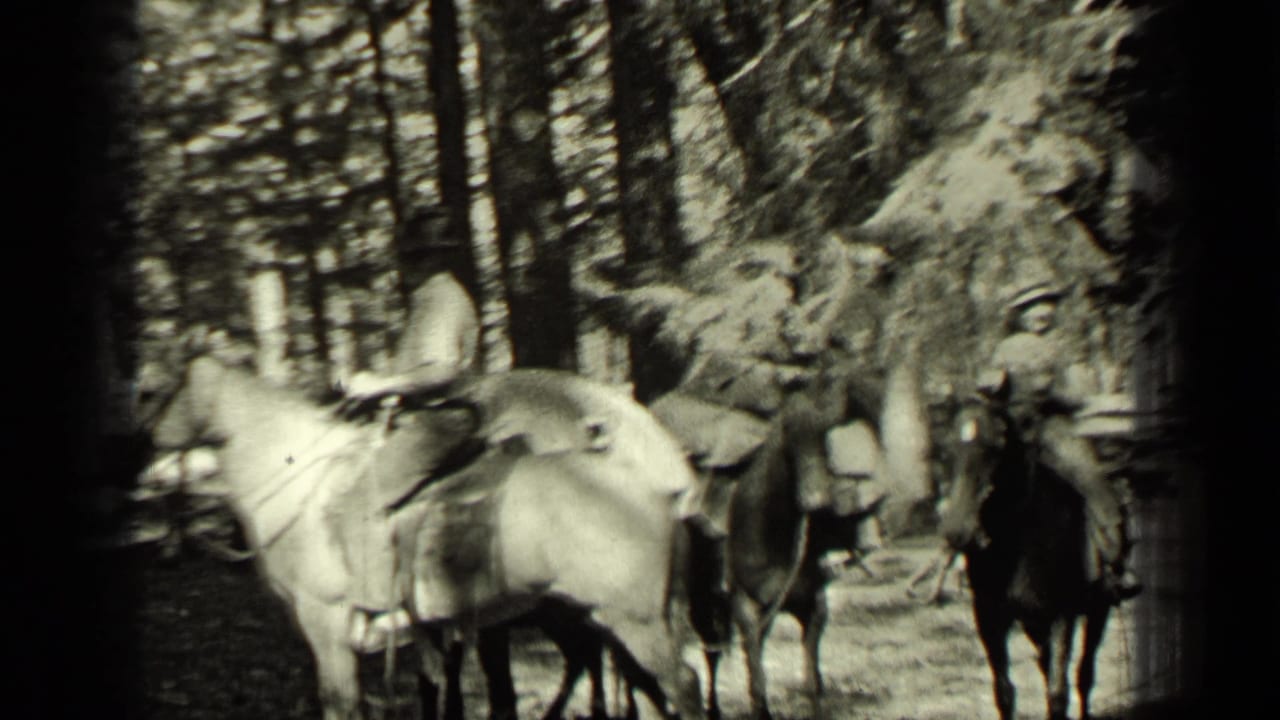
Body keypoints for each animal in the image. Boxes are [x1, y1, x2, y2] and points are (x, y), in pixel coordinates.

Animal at [145, 355, 705, 720]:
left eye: (166, 398)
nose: (146, 464)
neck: (298, 481)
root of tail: (663, 485)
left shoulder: (326, 624)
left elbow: (341, 704)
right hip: (595, 614)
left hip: (633, 619)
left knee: (680, 685)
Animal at [939, 397, 1116, 720]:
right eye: (947, 446)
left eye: (999, 444)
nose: (957, 530)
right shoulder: (990, 618)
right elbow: (1005, 692)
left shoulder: (1063, 615)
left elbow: (1058, 692)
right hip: (1035, 624)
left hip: (1098, 609)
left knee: (1084, 673)